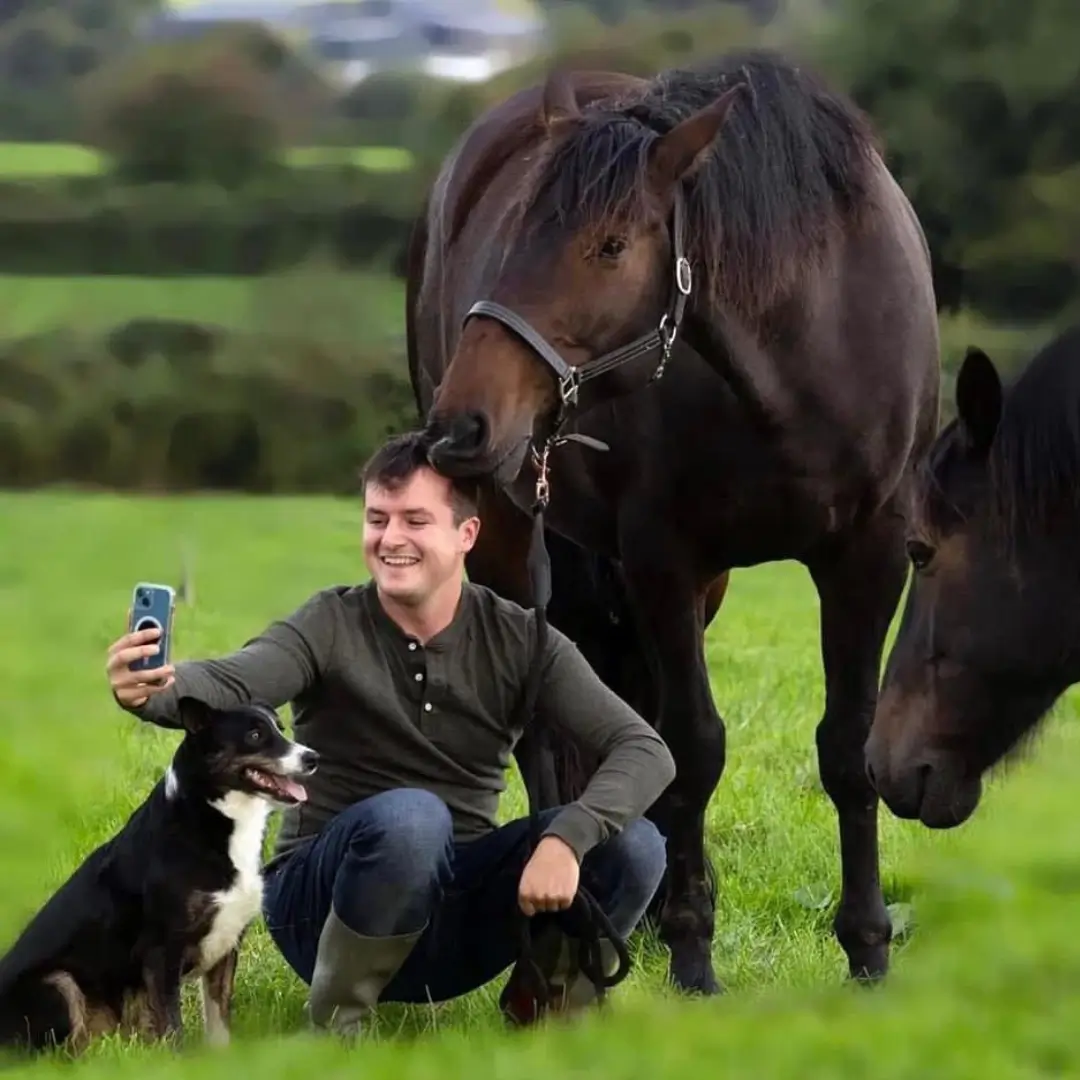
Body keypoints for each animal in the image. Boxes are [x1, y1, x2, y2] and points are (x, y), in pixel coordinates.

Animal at [0, 691, 315, 1054]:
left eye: (280, 729)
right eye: (254, 735)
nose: (312, 758)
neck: (209, 816)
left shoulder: (226, 945)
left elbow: (219, 1018)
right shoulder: (161, 951)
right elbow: (172, 1023)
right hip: (57, 983)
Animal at [401, 50, 941, 993]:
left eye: (612, 245)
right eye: (509, 240)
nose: (460, 428)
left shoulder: (867, 555)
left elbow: (848, 750)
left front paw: (868, 950)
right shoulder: (663, 559)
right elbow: (692, 745)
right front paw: (694, 954)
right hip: (513, 541)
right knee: (542, 732)